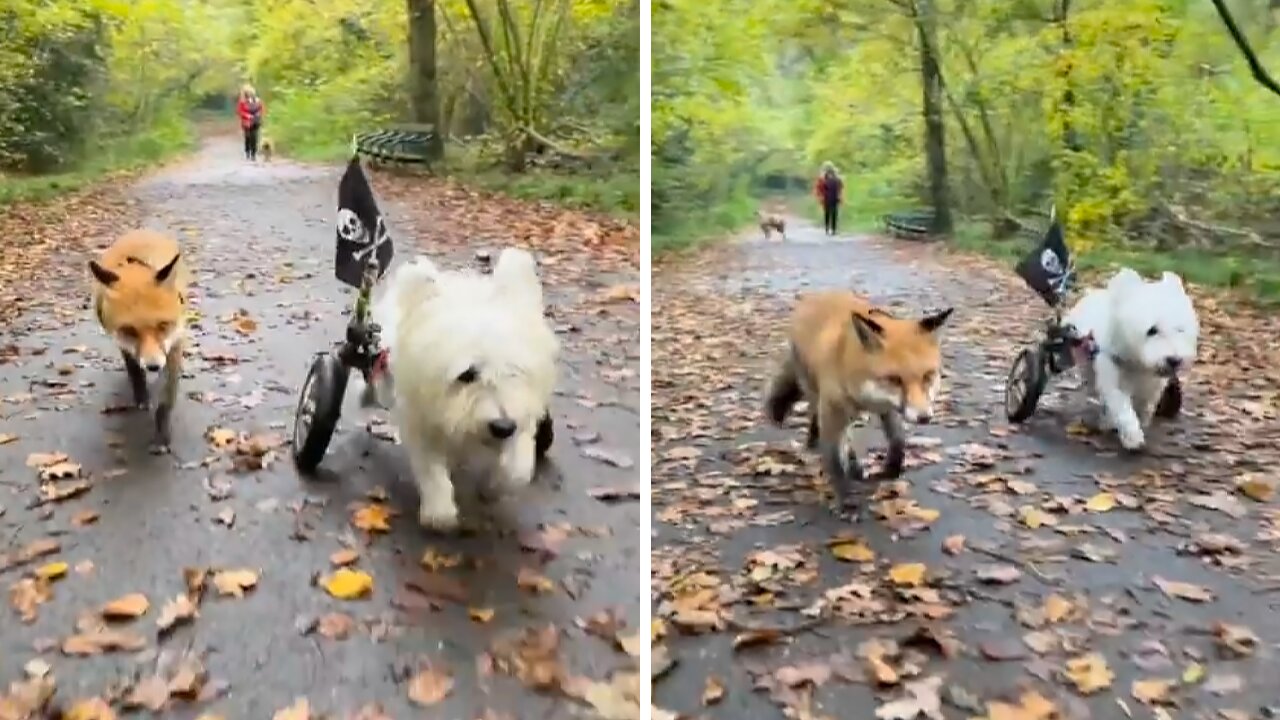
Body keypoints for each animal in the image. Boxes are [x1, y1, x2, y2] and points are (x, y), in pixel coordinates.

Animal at [88, 226, 188, 450]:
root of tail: (142, 231)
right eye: (130, 330)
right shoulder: (124, 343)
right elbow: (134, 371)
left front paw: (162, 435)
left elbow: (166, 399)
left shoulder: (175, 343)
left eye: (163, 325)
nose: (153, 366)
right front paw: (141, 395)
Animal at [366, 249, 555, 530]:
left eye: (514, 371)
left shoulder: (523, 415)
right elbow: (430, 466)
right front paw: (439, 510)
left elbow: (517, 466)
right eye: (467, 374)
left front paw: (494, 486)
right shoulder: (419, 418)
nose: (502, 427)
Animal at [768, 288, 952, 512]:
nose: (924, 417)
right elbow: (836, 461)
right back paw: (823, 445)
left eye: (927, 376)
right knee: (821, 421)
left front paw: (892, 468)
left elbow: (898, 440)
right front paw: (847, 500)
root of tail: (816, 295)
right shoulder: (832, 411)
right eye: (894, 379)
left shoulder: (888, 408)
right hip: (814, 391)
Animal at [1059, 269, 1198, 448]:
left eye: (1180, 329)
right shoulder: (1111, 372)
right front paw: (1132, 437)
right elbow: (1120, 405)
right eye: (1151, 330)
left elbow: (1147, 403)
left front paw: (1143, 419)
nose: (1174, 360)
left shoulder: (1154, 384)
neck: (1137, 363)